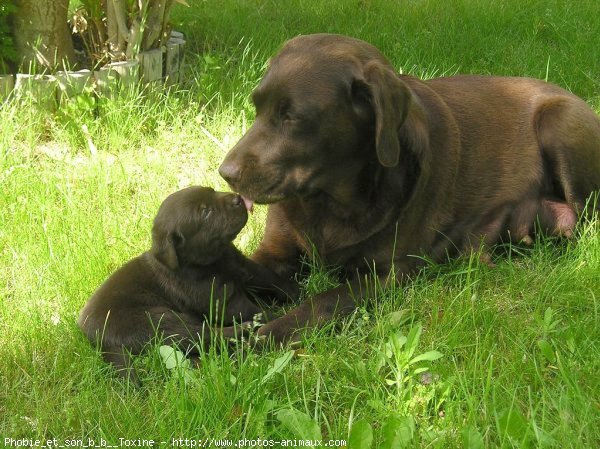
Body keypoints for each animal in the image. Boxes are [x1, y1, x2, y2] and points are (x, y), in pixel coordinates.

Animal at [77, 186, 298, 378]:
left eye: (212, 191)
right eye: (206, 212)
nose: (237, 198)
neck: (211, 261)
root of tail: (96, 339)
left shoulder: (244, 266)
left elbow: (269, 277)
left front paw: (296, 291)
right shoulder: (222, 300)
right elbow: (248, 307)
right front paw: (274, 315)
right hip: (159, 320)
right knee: (204, 336)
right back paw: (249, 327)